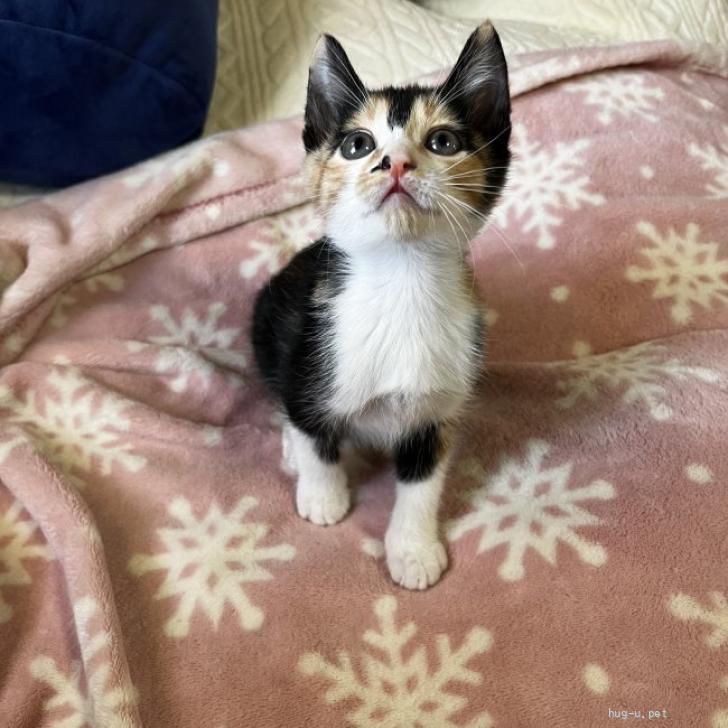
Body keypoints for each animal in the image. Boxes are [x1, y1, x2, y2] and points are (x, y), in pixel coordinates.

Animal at [252, 21, 511, 589]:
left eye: (443, 141)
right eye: (357, 144)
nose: (394, 163)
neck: (402, 279)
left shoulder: (438, 409)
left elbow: (423, 483)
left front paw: (413, 550)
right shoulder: (311, 357)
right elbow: (314, 432)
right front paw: (323, 495)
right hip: (267, 321)